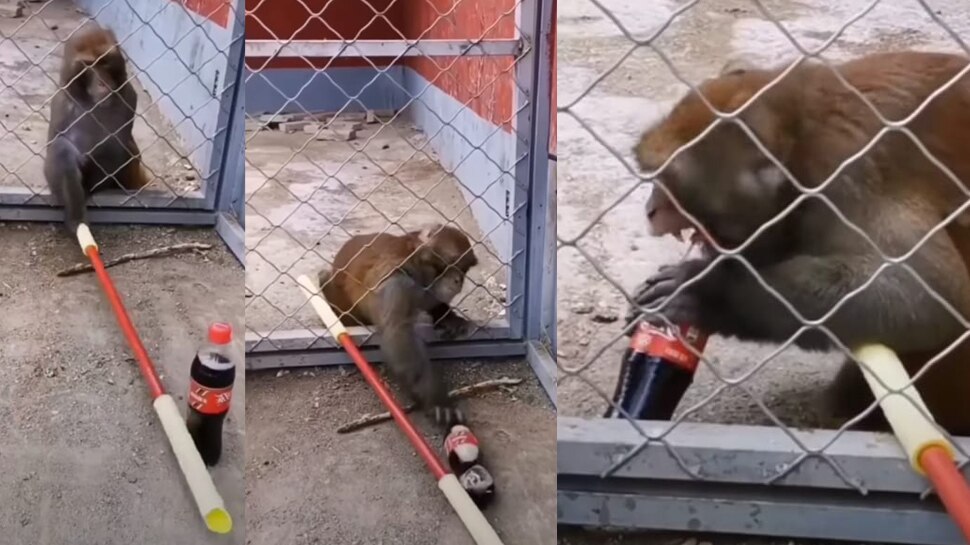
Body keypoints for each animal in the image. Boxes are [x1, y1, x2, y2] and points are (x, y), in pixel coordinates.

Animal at [44, 23, 149, 236]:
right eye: (87, 65)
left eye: (104, 61)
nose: (102, 83)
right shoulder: (62, 102)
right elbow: (58, 147)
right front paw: (76, 216)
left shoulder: (128, 96)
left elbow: (115, 144)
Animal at [320, 223, 478, 428]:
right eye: (450, 265)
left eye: (464, 268)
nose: (458, 280)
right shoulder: (397, 281)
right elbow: (397, 333)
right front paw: (437, 401)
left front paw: (449, 319)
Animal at [624, 50, 968, 434]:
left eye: (669, 182)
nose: (651, 208)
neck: (801, 139)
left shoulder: (848, 176)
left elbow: (929, 294)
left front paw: (705, 291)